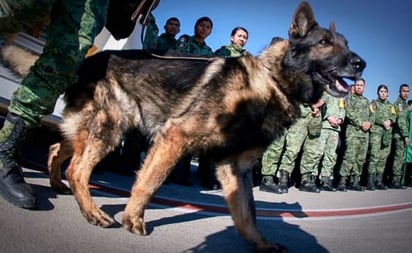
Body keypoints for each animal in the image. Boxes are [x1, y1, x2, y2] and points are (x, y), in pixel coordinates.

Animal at [1, 0, 366, 252]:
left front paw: (260, 244)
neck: (271, 81)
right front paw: (133, 220)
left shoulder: (235, 169)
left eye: (347, 44)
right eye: (324, 43)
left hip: (95, 128)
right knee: (78, 167)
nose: (361, 63)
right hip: (112, 128)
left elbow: (247, 213)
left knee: (57, 147)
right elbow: (148, 184)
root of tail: (87, 60)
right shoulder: (175, 138)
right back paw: (92, 212)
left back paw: (59, 184)